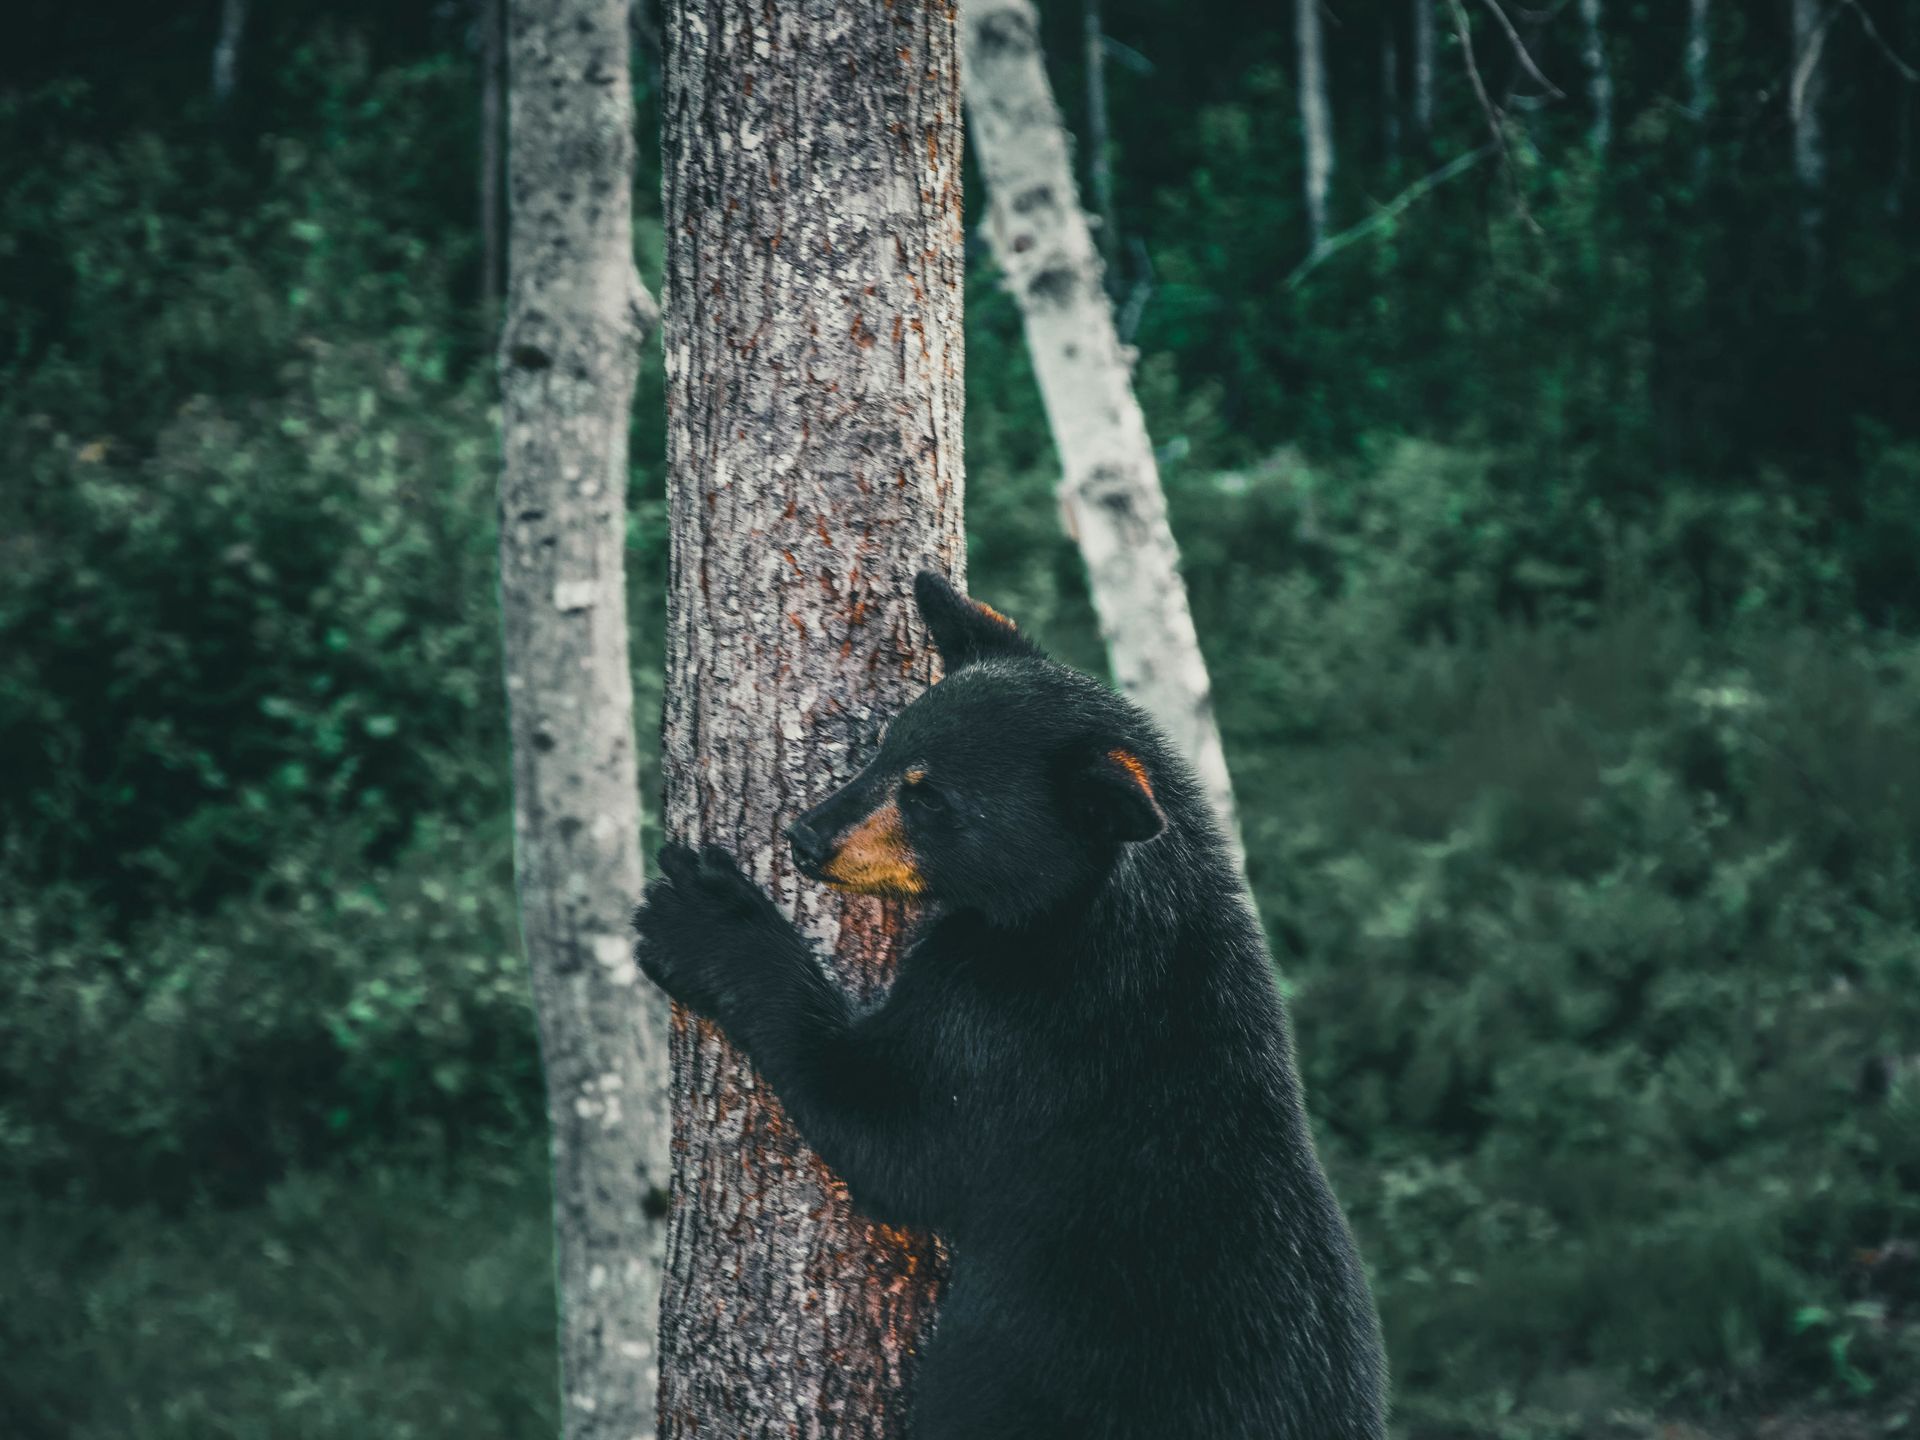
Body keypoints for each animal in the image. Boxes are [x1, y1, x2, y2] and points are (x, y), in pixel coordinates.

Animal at [632, 571, 1387, 1440]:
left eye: (934, 802)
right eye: (885, 749)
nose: (806, 838)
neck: (1082, 911)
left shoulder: (1022, 1034)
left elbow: (894, 1132)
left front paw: (701, 918)